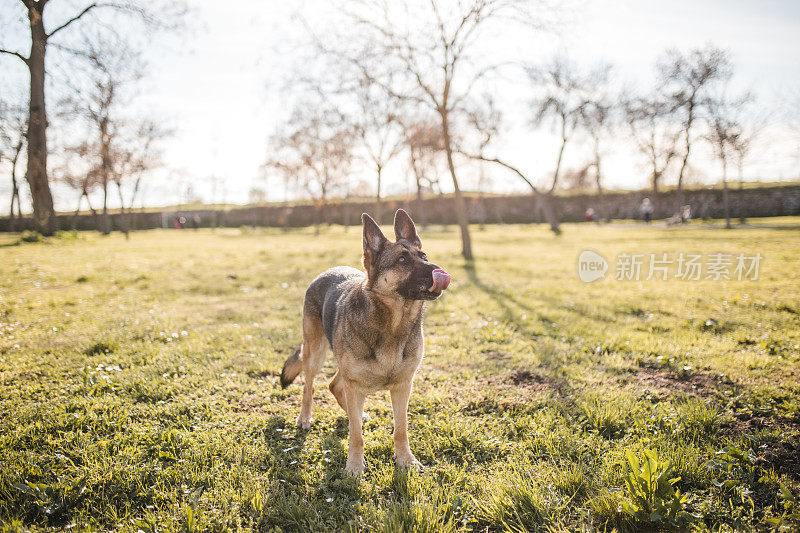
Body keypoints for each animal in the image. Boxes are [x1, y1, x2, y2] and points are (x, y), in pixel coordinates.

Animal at [280, 208, 450, 474]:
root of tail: (327, 271)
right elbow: (356, 435)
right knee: (310, 386)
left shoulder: (403, 387)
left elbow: (401, 429)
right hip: (315, 353)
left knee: (334, 385)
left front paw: (406, 460)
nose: (440, 271)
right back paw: (305, 418)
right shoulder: (356, 385)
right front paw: (354, 467)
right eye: (402, 260)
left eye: (423, 256)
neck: (392, 324)